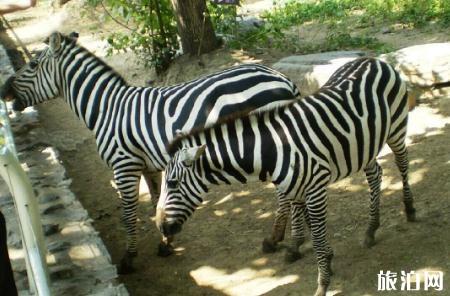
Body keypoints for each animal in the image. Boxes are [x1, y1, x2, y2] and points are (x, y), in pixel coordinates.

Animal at [2, 31, 302, 272]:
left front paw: (129, 257)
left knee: (285, 193)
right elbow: (159, 200)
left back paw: (275, 239)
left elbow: (128, 214)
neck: (106, 110)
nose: (4, 90)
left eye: (32, 64)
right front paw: (166, 242)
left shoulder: (124, 166)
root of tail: (282, 78)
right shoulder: (150, 167)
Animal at [156, 57, 416, 296]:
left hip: (396, 128)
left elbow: (317, 238)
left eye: (172, 183)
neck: (273, 149)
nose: (161, 227)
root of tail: (374, 59)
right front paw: (316, 255)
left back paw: (410, 209)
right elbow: (309, 224)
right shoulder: (298, 188)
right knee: (375, 174)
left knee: (402, 162)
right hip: (363, 145)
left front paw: (322, 284)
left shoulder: (315, 189)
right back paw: (371, 229)